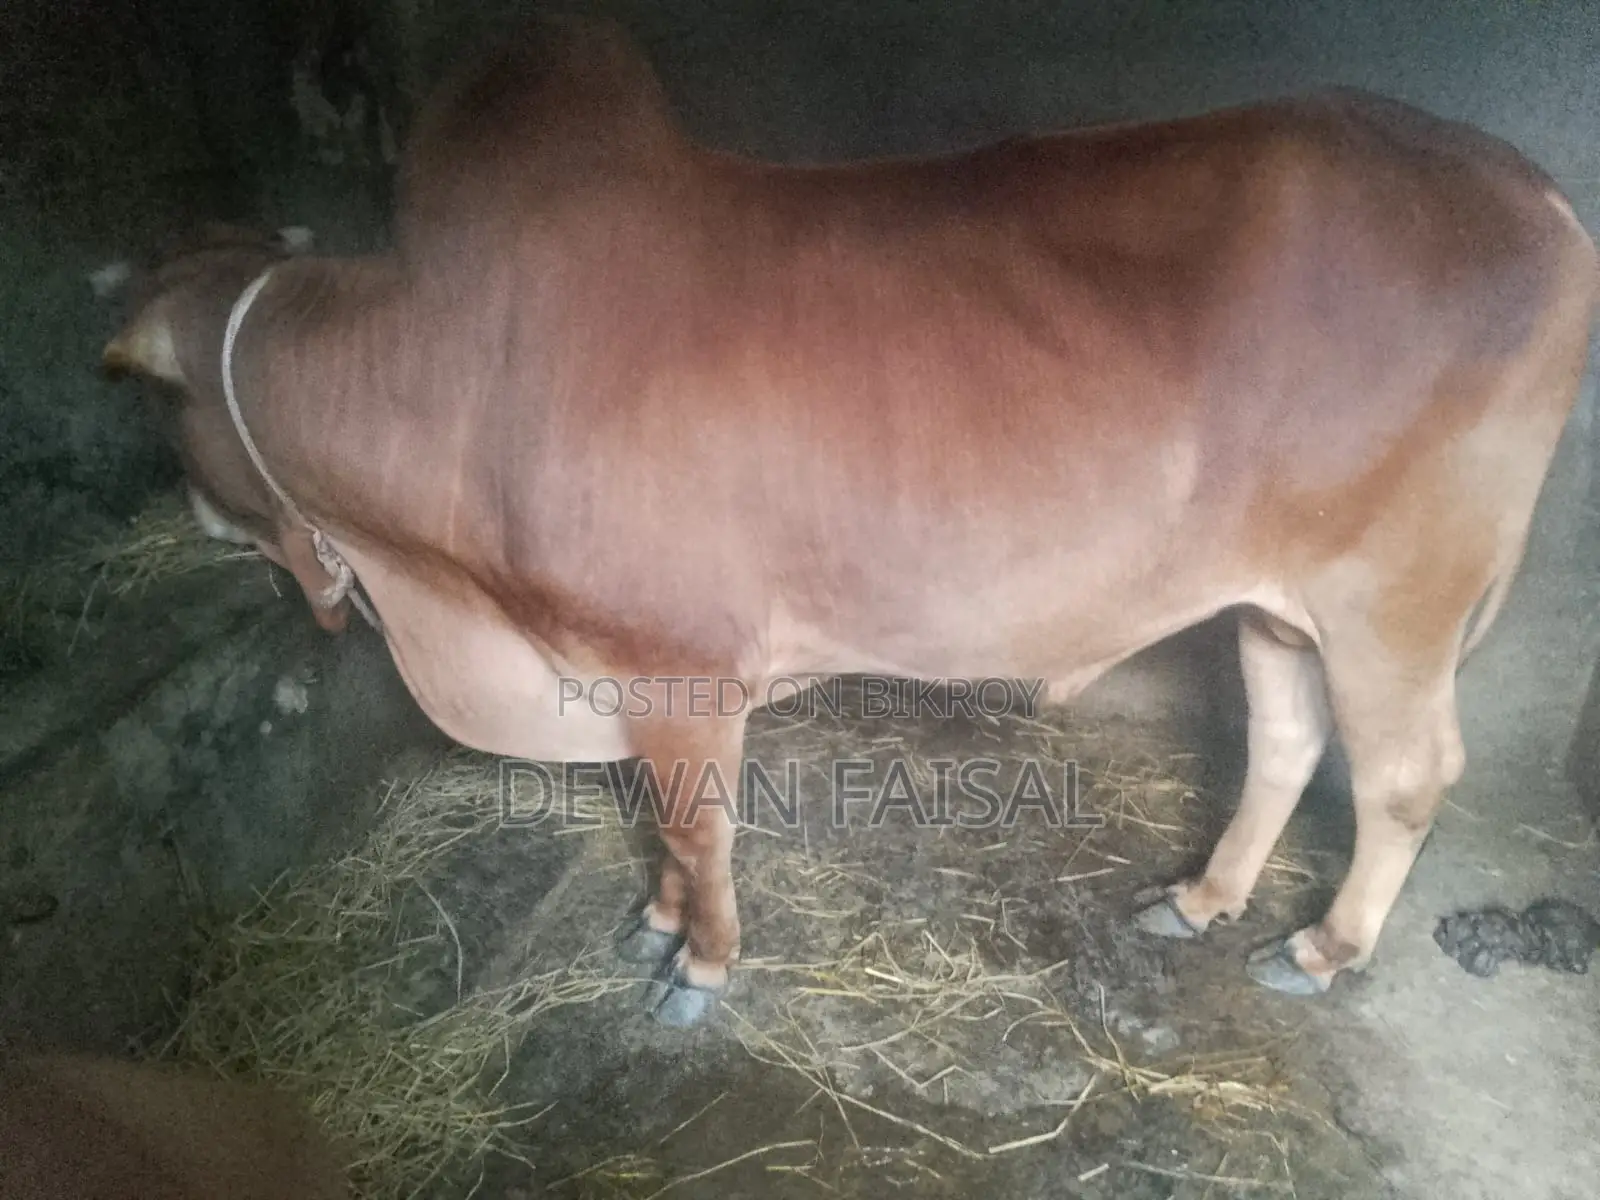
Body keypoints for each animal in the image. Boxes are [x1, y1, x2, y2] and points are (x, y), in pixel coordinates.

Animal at [98, 14, 1597, 1027]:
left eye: (157, 408)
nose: (187, 508)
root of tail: (1530, 191)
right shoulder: (617, 671)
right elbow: (656, 818)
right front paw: (651, 921)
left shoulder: (681, 665)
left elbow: (697, 824)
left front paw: (698, 962)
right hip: (1274, 598)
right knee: (1286, 740)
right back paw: (1199, 900)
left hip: (1393, 600)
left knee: (1404, 776)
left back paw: (1322, 952)